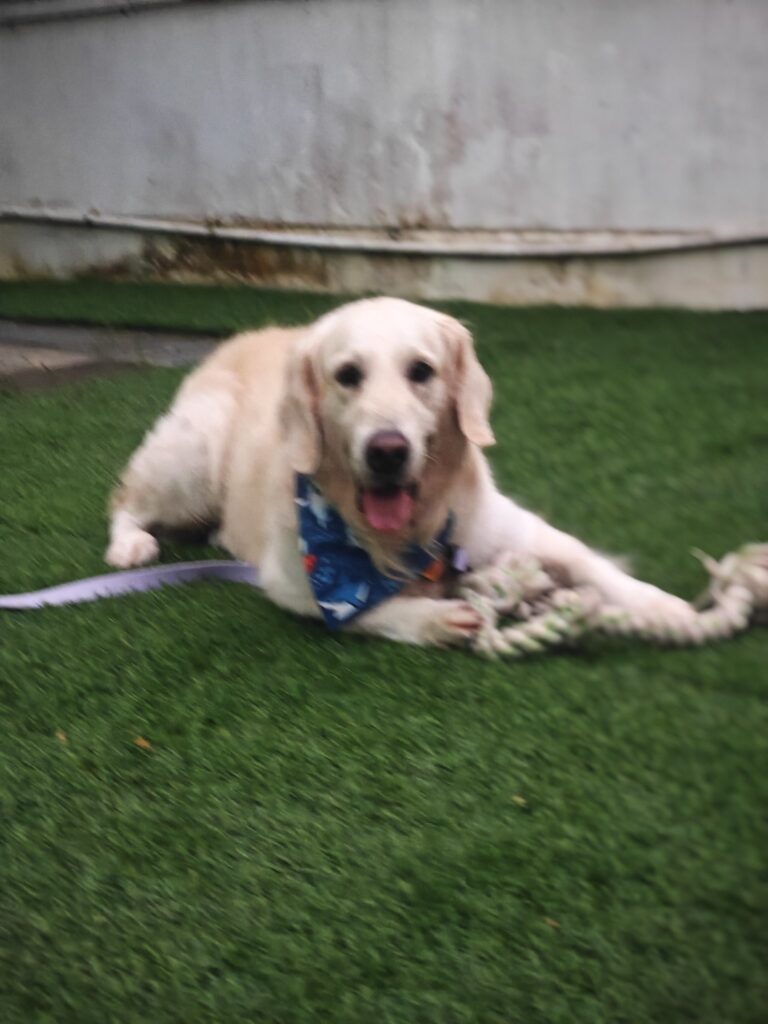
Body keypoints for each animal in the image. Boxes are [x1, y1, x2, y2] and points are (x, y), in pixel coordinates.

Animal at [106, 296, 692, 646]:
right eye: (347, 375)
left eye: (421, 371)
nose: (387, 451)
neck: (409, 533)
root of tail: (230, 344)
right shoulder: (293, 579)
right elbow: (364, 612)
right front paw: (436, 618)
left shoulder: (516, 528)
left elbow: (593, 564)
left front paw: (666, 608)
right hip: (194, 455)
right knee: (124, 499)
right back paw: (129, 545)